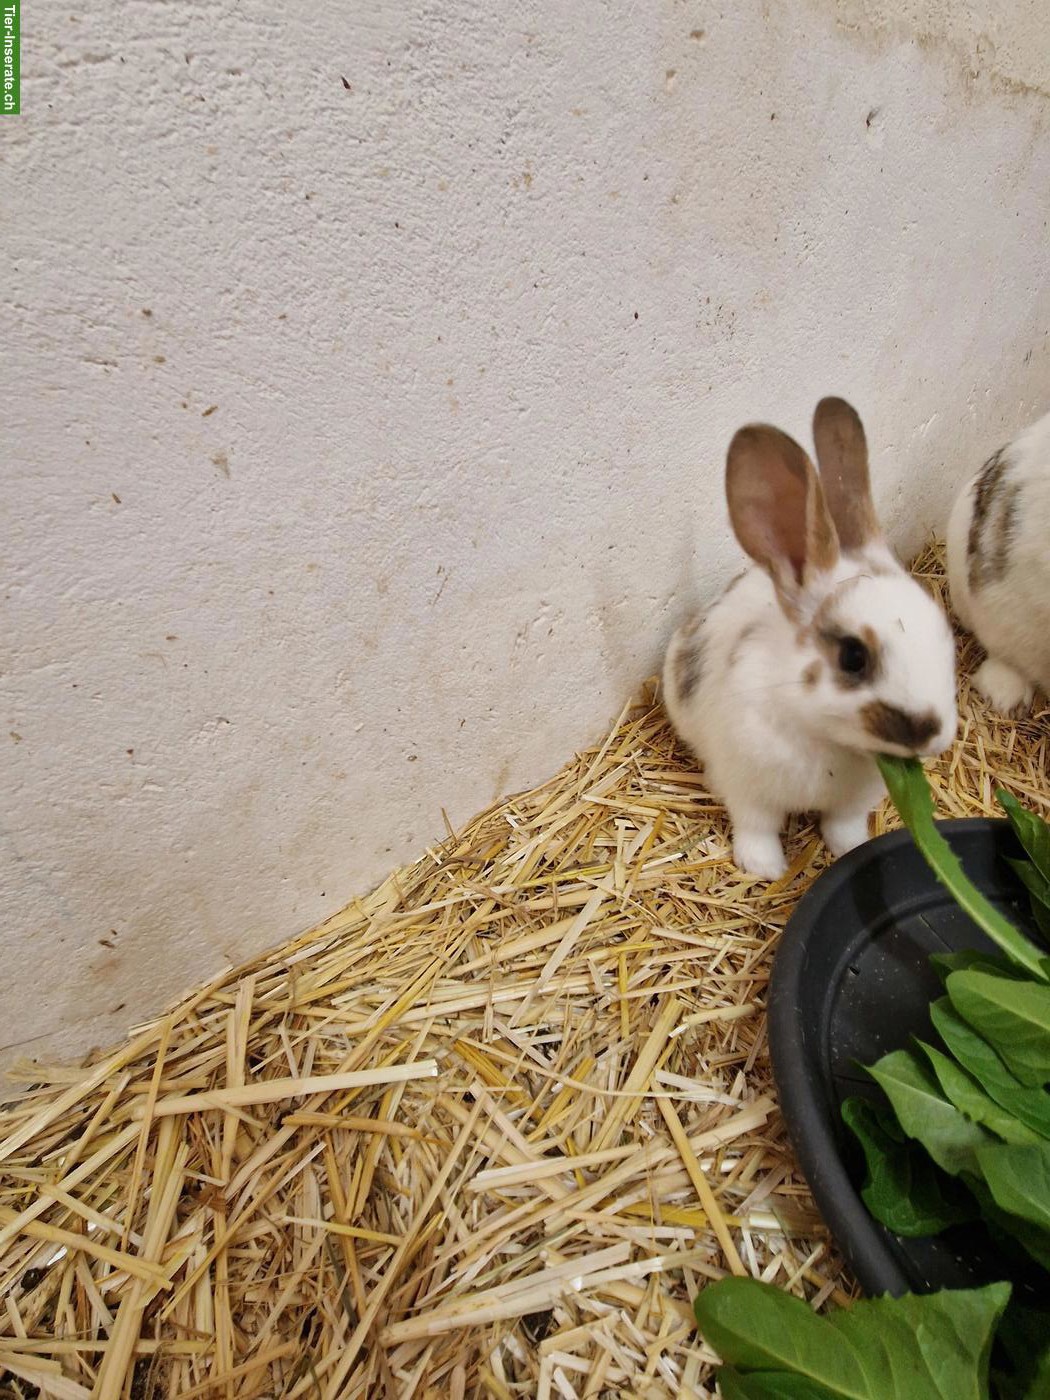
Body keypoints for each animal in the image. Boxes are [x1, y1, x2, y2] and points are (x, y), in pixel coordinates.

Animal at [663, 397, 958, 880]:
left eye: (944, 636)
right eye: (853, 656)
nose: (934, 735)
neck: (824, 736)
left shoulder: (854, 800)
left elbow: (843, 825)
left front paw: (850, 848)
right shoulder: (748, 787)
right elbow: (756, 827)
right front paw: (764, 869)